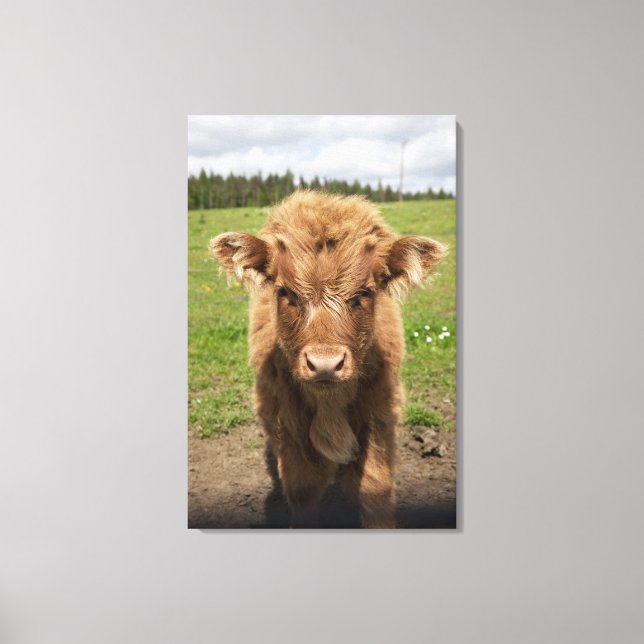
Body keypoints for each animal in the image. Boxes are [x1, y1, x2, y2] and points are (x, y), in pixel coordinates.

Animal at [210, 191, 445, 528]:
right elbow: (302, 488)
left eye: (365, 292)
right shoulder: (285, 420)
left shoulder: (379, 413)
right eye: (285, 292)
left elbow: (375, 485)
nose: (324, 364)